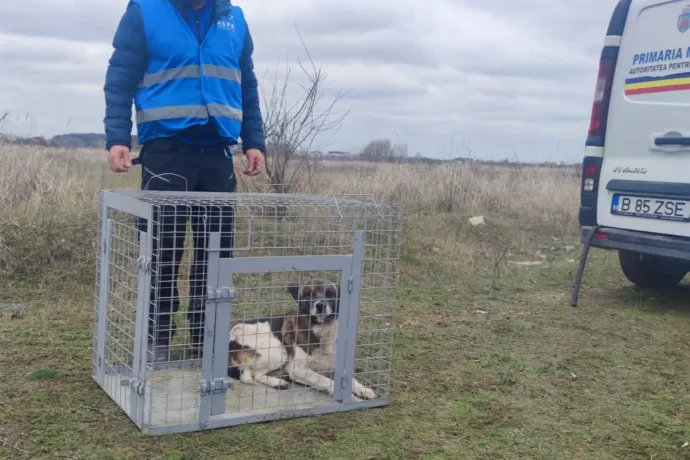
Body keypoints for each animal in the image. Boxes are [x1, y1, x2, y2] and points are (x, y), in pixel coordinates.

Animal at [226, 278, 376, 400]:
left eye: (330, 294)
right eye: (308, 294)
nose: (320, 305)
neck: (322, 332)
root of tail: (233, 333)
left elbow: (350, 379)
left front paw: (362, 389)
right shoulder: (298, 370)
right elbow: (323, 379)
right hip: (279, 351)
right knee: (254, 374)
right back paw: (277, 382)